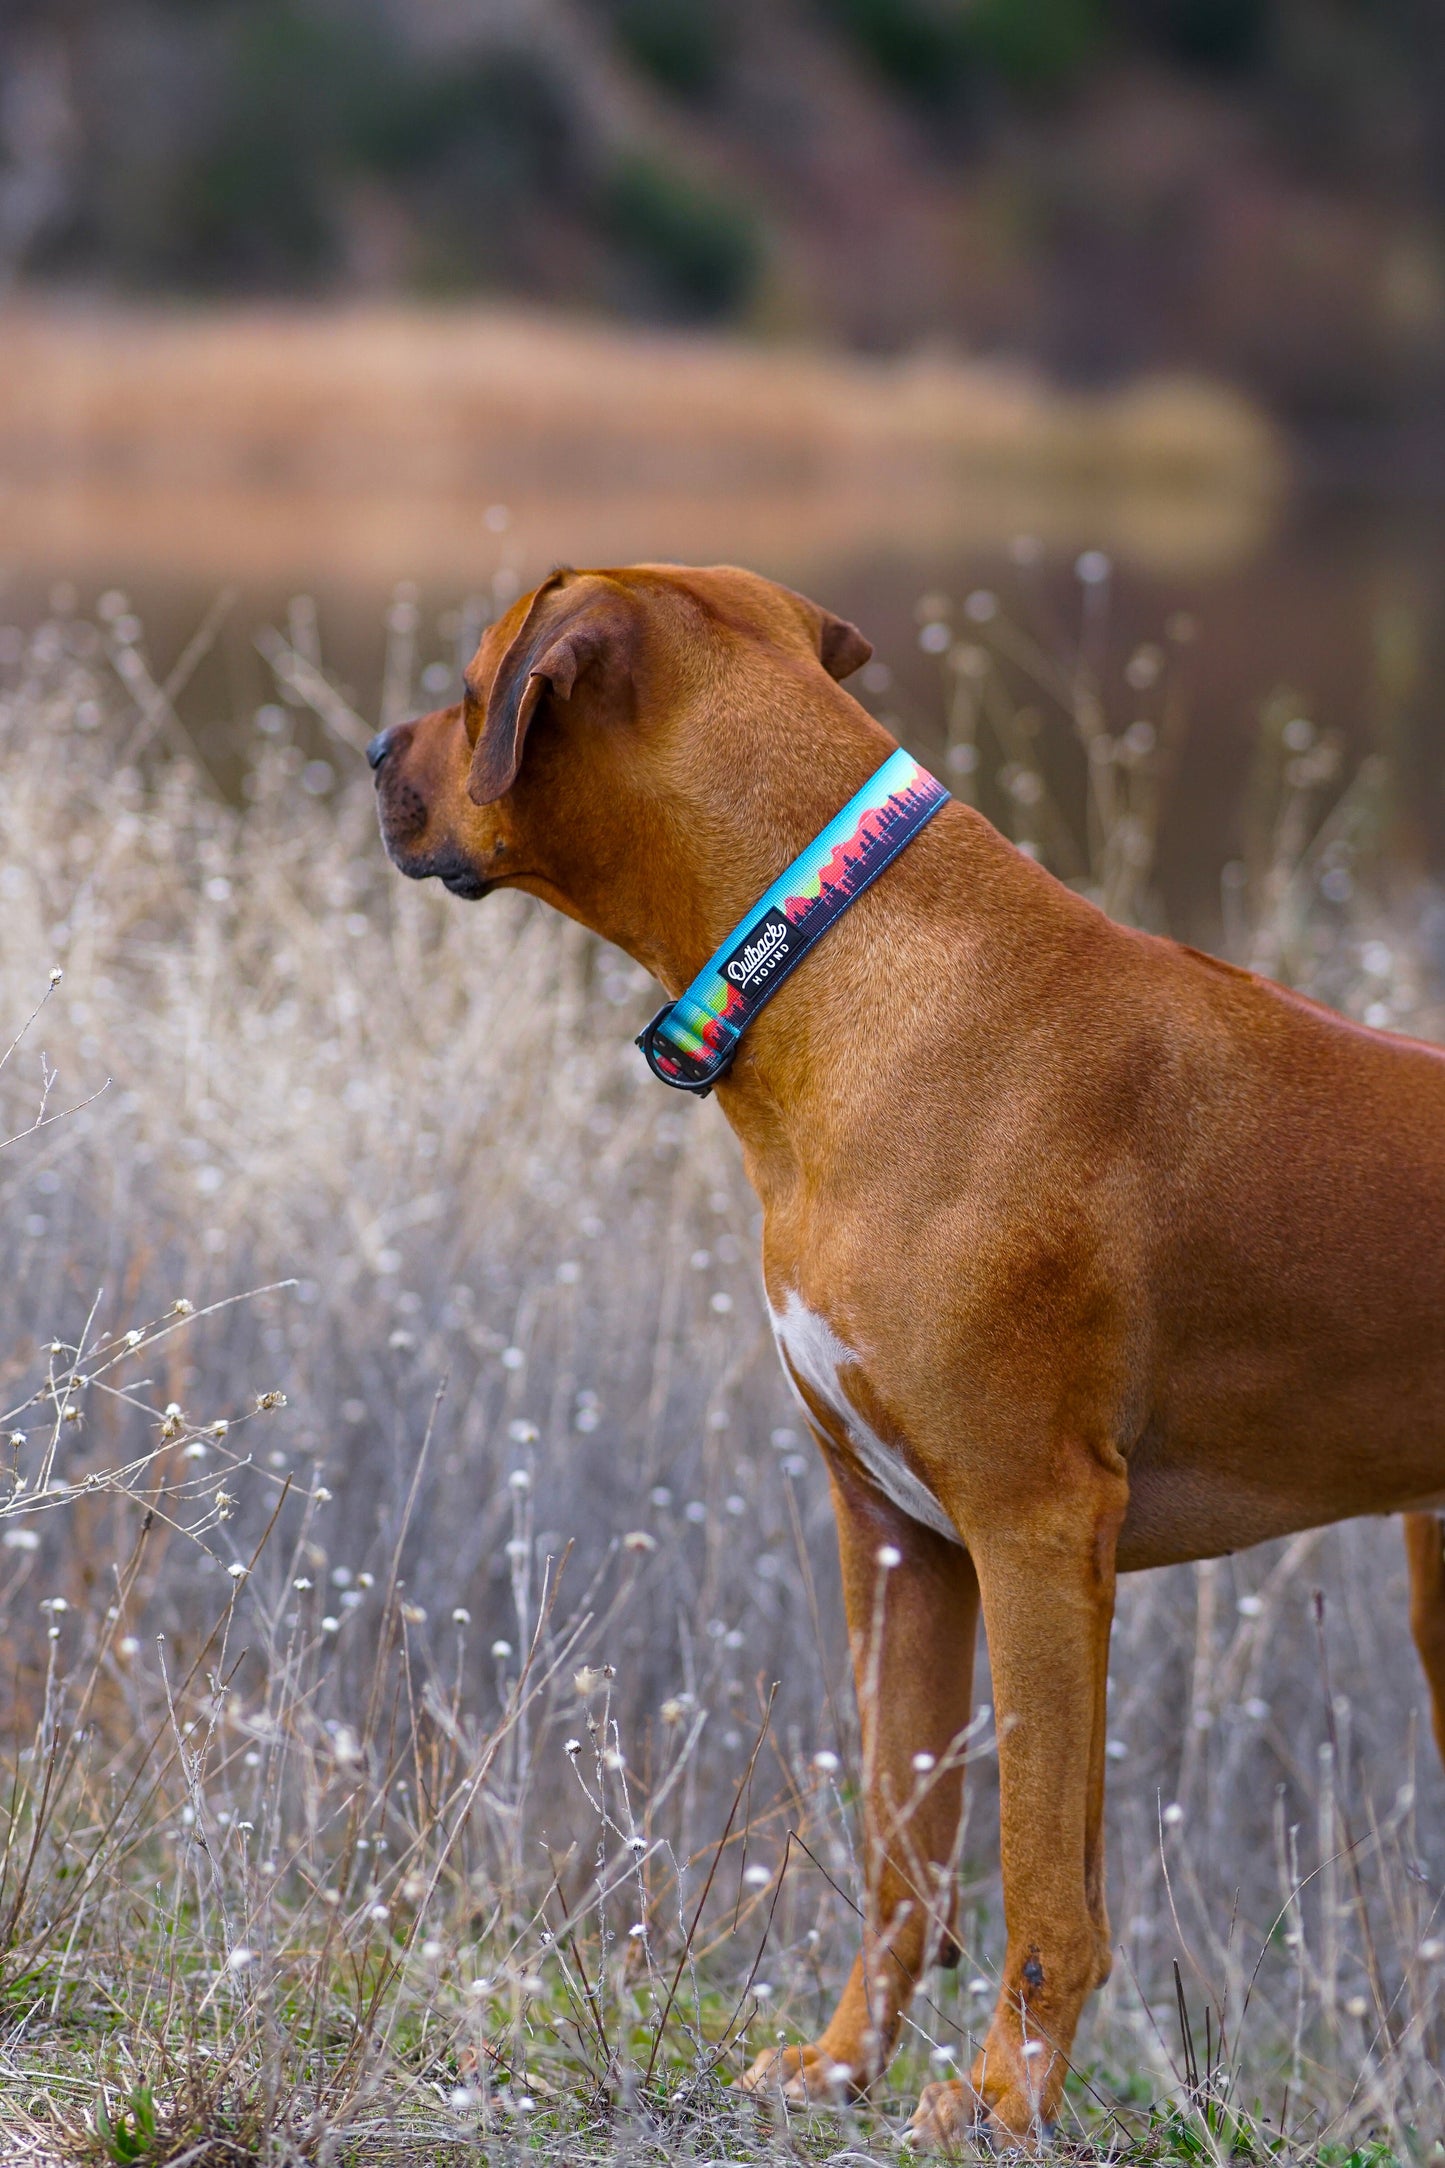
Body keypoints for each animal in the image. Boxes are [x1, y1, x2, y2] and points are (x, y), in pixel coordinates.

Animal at [363, 568, 1445, 2141]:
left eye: (470, 683)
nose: (374, 751)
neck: (832, 957)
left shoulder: (1034, 1534)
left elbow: (1044, 1880)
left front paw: (1000, 2100)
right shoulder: (896, 1539)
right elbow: (900, 1845)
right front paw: (839, 2063)